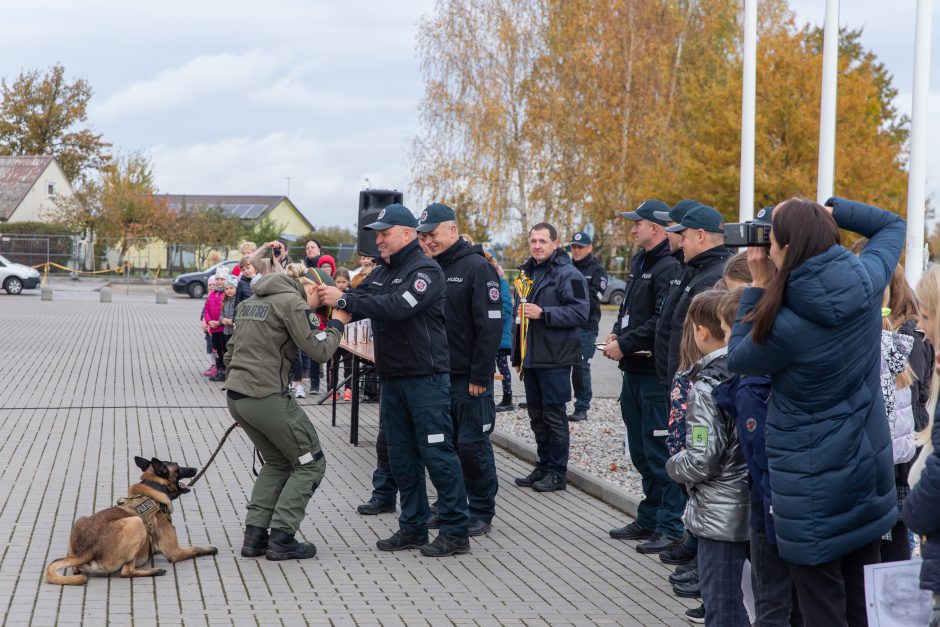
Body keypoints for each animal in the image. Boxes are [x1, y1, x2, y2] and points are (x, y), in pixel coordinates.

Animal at [45, 456, 217, 584]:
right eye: (178, 467)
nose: (195, 469)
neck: (155, 489)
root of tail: (87, 550)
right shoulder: (175, 552)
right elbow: (195, 549)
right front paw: (210, 548)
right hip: (136, 523)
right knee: (126, 572)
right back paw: (153, 570)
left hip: (80, 520)